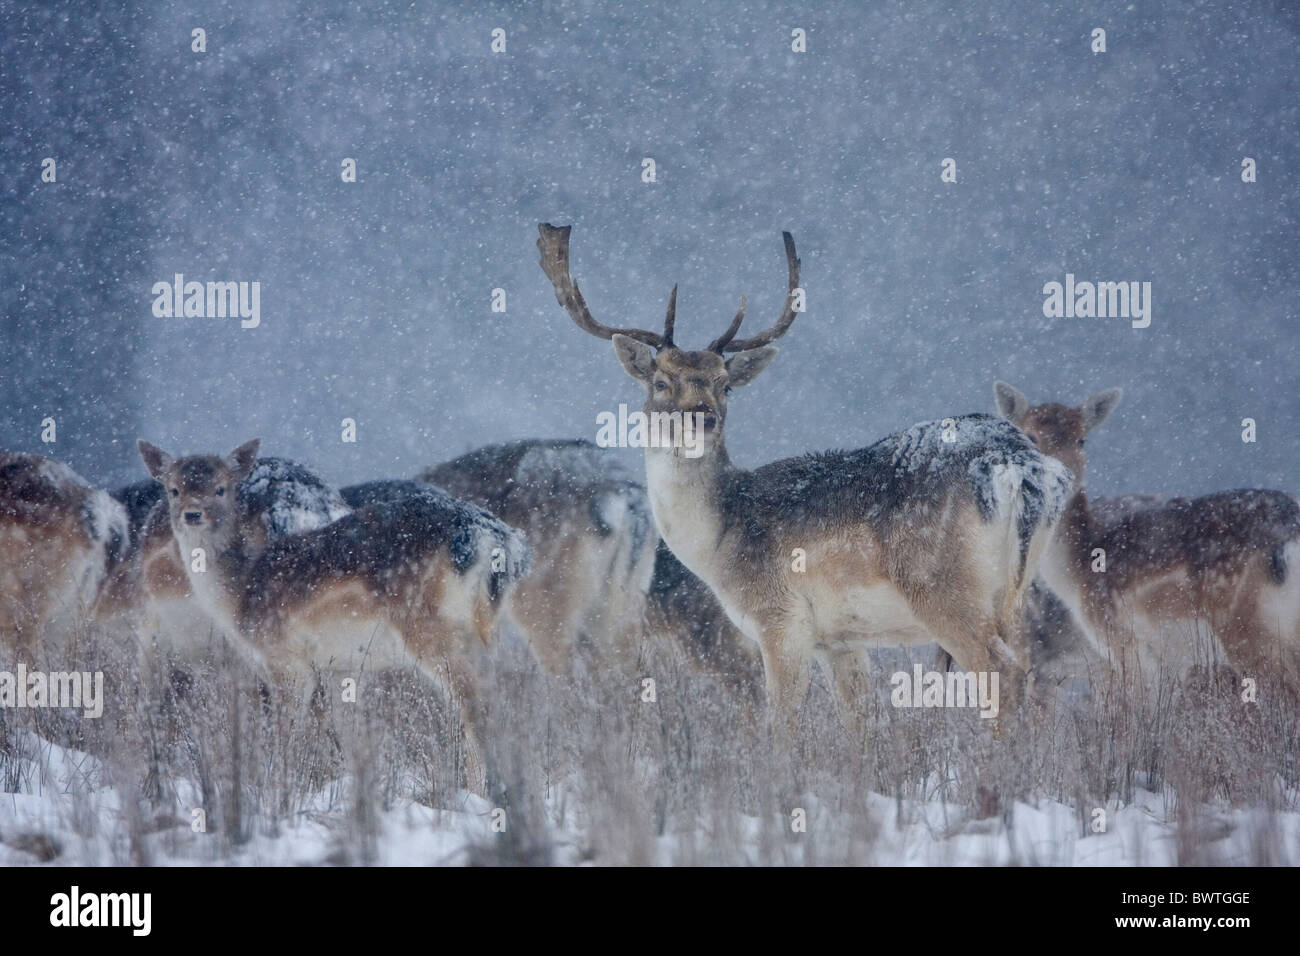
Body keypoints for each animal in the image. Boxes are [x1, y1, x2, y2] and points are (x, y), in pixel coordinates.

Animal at [136, 438, 530, 793]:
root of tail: (501, 540)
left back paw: (485, 793)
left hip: (431, 628)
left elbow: (285, 737)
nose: (192, 514)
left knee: (478, 706)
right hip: (486, 630)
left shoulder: (286, 660)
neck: (240, 595)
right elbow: (347, 736)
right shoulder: (341, 667)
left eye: (220, 488)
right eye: (173, 489)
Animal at [538, 223, 1074, 738]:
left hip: (943, 589)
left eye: (725, 384)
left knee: (1002, 673)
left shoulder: (780, 620)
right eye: (660, 382)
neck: (720, 540)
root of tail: (1023, 465)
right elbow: (860, 726)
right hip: (1013, 594)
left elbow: (781, 726)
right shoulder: (840, 641)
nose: (703, 416)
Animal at [993, 382, 1300, 695]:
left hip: (1246, 627)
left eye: (1082, 439)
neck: (1076, 578)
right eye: (1030, 436)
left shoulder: (1123, 641)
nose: (1063, 477)